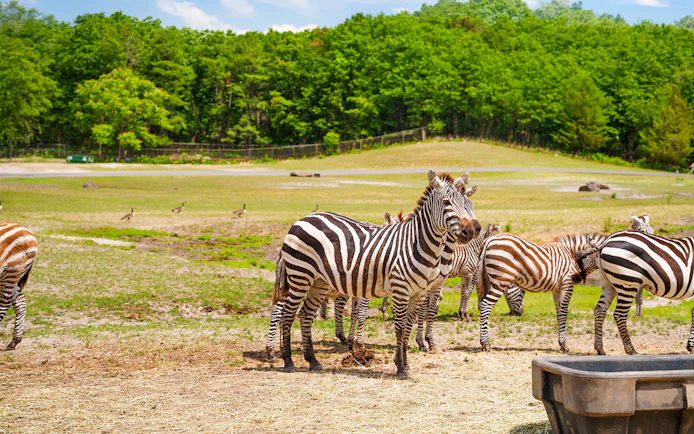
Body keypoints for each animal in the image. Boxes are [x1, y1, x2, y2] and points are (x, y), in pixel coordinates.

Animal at [275, 171, 480, 378]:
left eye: (467, 204)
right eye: (446, 202)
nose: (473, 230)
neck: (417, 243)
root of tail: (304, 219)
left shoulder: (419, 292)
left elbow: (408, 327)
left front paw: (406, 364)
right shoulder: (400, 289)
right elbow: (400, 328)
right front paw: (401, 367)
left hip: (318, 281)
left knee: (305, 314)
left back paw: (313, 361)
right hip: (300, 275)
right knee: (287, 314)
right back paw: (288, 361)